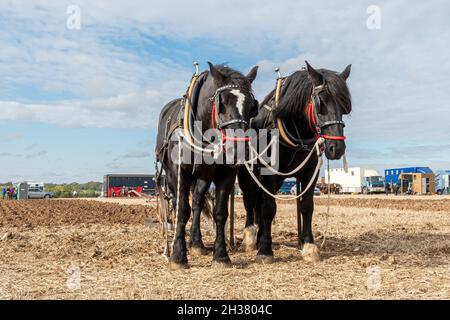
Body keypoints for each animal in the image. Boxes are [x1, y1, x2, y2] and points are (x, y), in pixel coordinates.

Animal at [156, 62, 258, 268]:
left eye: (252, 106)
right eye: (222, 102)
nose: (239, 148)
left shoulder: (226, 174)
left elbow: (220, 213)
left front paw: (221, 255)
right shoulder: (179, 173)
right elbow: (182, 211)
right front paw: (178, 255)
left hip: (203, 177)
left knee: (197, 203)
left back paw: (197, 243)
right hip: (171, 176)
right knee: (179, 205)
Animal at [239, 60, 352, 262]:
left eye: (344, 107)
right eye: (321, 102)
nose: (336, 148)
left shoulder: (310, 171)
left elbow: (307, 207)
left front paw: (308, 245)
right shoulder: (269, 171)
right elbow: (269, 208)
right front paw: (265, 250)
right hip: (247, 175)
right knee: (250, 202)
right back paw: (251, 238)